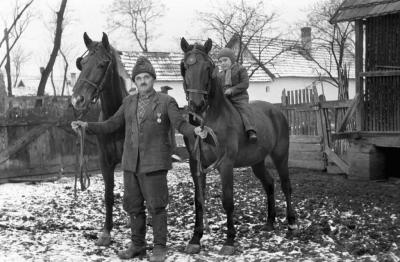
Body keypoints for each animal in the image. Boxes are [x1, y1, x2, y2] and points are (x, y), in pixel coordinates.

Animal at [71, 32, 129, 246]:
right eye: (82, 63)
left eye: (103, 64)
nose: (77, 100)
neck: (115, 116)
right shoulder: (106, 162)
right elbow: (108, 195)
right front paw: (106, 232)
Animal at [181, 37, 296, 255]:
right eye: (184, 66)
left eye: (208, 67)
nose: (196, 106)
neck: (210, 119)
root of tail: (277, 111)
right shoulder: (195, 165)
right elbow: (199, 201)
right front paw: (195, 239)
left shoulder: (225, 164)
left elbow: (228, 200)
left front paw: (229, 241)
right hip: (257, 162)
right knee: (269, 184)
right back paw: (270, 222)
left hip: (281, 156)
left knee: (286, 185)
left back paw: (292, 223)